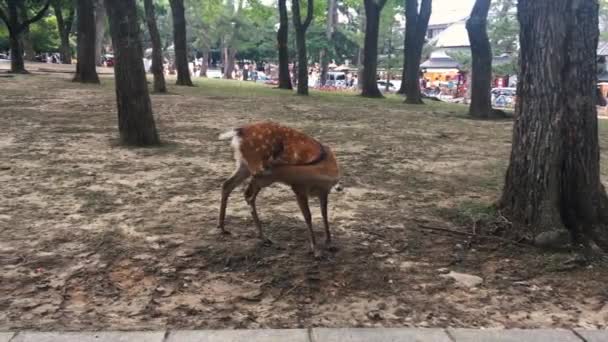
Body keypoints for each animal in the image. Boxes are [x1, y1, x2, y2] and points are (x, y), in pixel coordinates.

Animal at [217, 121, 342, 255]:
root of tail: (238, 132)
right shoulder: (299, 188)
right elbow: (308, 216)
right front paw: (316, 249)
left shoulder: (324, 191)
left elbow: (324, 214)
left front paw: (329, 243)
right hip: (252, 169)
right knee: (247, 194)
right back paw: (263, 237)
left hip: (244, 165)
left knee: (229, 185)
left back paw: (223, 228)